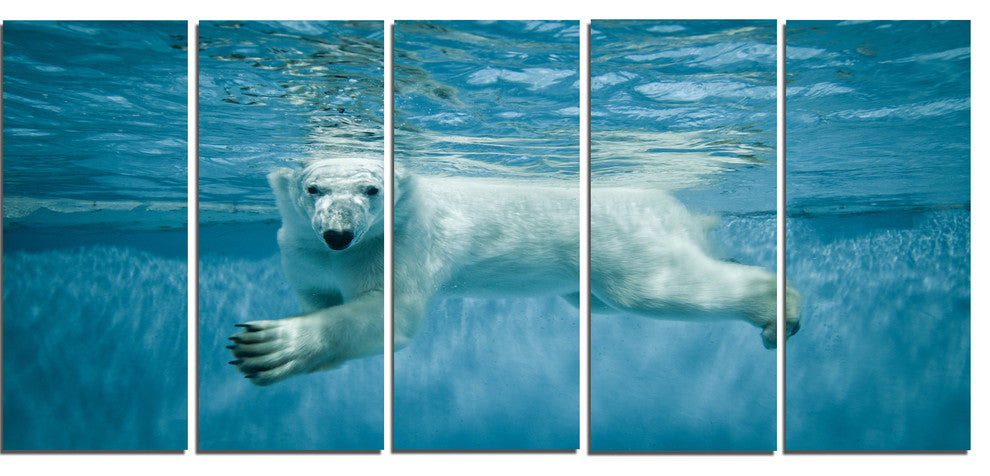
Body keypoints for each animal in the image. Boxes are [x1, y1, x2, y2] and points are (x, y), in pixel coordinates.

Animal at [228, 157, 801, 386]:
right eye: (313, 188)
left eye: (371, 188)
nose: (338, 234)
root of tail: (677, 209)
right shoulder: (302, 252)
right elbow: (321, 296)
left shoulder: (400, 243)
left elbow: (388, 315)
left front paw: (268, 345)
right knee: (600, 300)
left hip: (621, 240)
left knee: (652, 290)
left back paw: (780, 310)